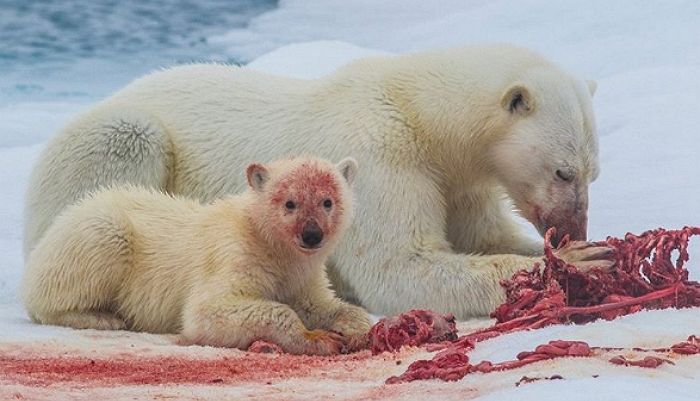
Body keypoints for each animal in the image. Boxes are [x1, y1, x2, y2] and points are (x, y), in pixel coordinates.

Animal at [21, 44, 612, 318]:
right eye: (563, 170)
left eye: (593, 172)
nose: (576, 228)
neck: (419, 110)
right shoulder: (379, 155)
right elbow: (399, 267)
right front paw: (578, 262)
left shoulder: (459, 177)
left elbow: (484, 234)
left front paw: (589, 249)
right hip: (113, 142)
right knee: (125, 144)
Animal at [21, 156, 372, 354]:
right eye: (290, 203)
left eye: (327, 201)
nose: (312, 235)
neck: (270, 244)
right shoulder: (235, 255)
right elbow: (209, 310)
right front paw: (318, 338)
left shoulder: (303, 273)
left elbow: (321, 303)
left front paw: (355, 330)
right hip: (98, 235)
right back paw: (102, 316)